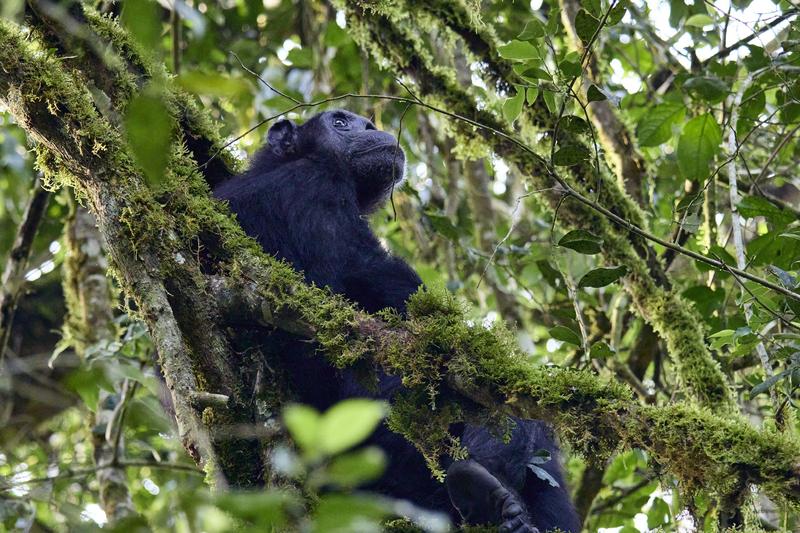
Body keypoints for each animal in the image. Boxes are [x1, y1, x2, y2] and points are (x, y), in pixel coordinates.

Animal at [209, 109, 580, 532]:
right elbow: (379, 278)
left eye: (361, 122)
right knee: (506, 415)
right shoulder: (318, 186)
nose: (371, 128)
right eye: (340, 123)